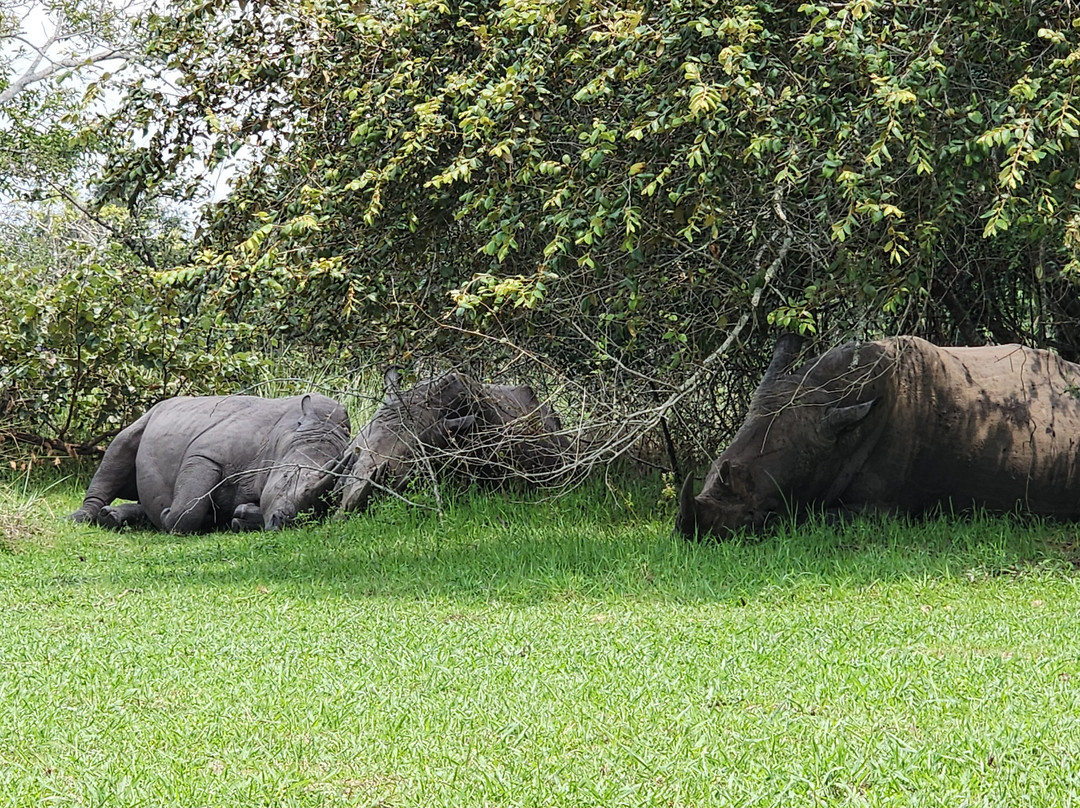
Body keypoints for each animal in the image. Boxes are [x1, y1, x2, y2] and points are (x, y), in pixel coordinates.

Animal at [67, 395, 352, 533]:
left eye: (324, 501)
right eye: (283, 478)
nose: (283, 522)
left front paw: (241, 516)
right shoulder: (205, 455)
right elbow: (187, 508)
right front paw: (169, 514)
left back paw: (112, 517)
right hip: (149, 416)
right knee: (120, 446)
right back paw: (79, 518)